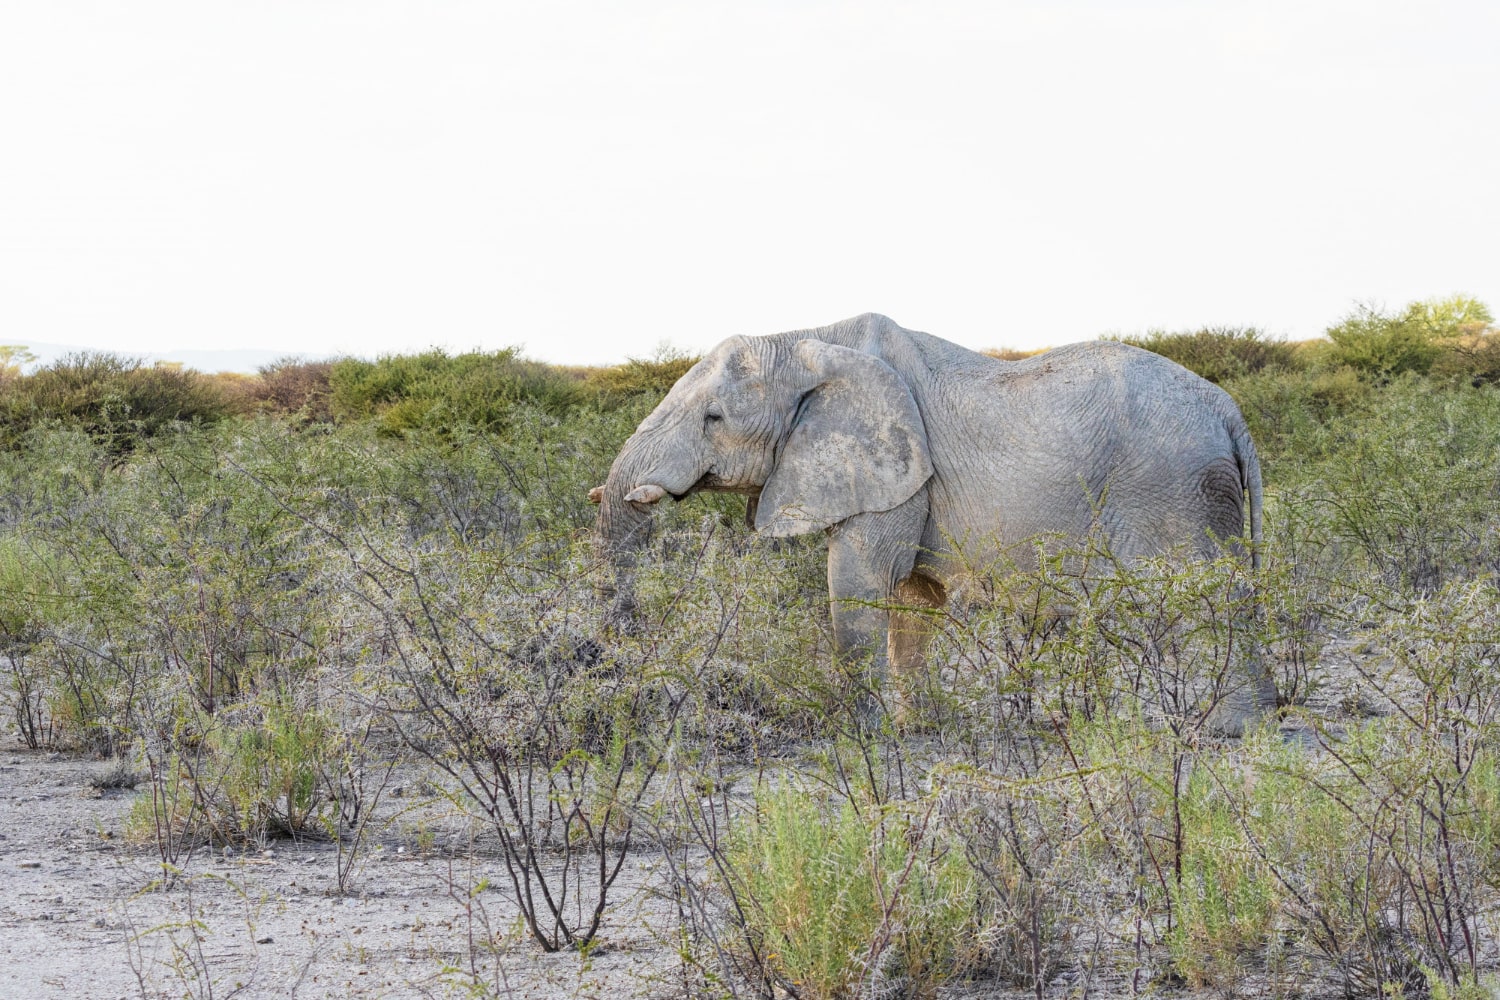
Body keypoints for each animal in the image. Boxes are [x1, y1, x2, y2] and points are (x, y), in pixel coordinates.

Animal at [591, 316, 1272, 731]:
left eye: (714, 418)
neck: (807, 339)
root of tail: (1229, 410)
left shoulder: (899, 466)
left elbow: (860, 578)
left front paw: (858, 733)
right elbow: (914, 595)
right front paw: (917, 727)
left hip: (1173, 486)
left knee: (1204, 598)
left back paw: (1224, 729)